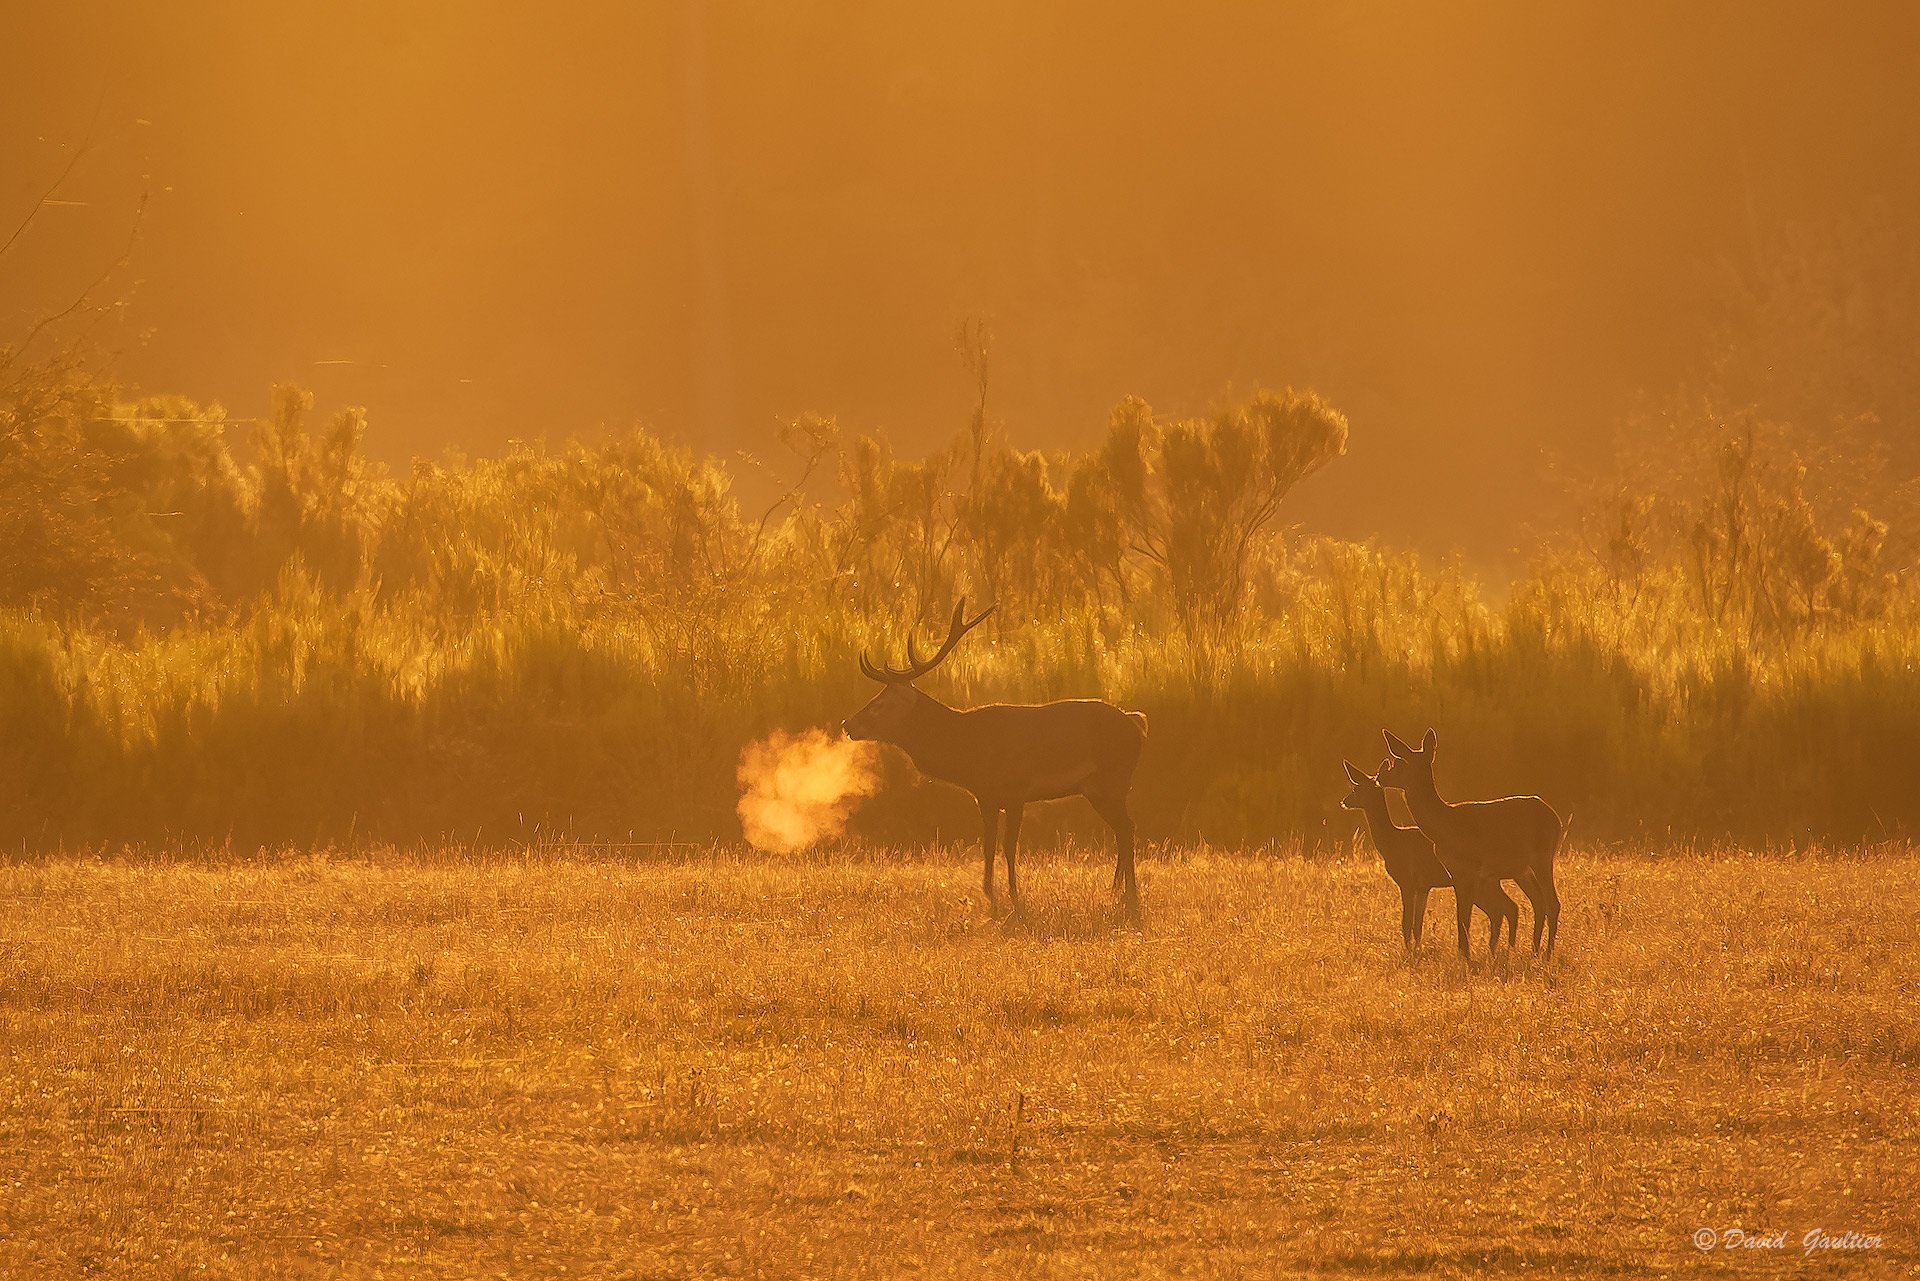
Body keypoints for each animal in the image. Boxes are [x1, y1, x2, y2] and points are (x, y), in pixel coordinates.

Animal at [841, 600, 1150, 919]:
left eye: (880, 704)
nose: (848, 724)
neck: (969, 749)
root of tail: (1135, 721)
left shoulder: (1016, 791)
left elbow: (1009, 846)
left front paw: (1013, 895)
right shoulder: (985, 797)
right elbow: (988, 845)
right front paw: (988, 892)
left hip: (1114, 779)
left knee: (1127, 828)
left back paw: (1129, 892)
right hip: (1098, 789)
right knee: (1122, 829)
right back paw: (1116, 889)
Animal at [1341, 759, 1518, 954]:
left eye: (1356, 788)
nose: (1344, 801)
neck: (1391, 842)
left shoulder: (1407, 881)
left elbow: (1406, 923)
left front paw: (1408, 953)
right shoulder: (1423, 886)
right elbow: (1417, 925)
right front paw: (1417, 950)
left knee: (1504, 908)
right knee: (1502, 909)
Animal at [1378, 728, 1563, 960]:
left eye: (1400, 762)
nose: (1380, 777)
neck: (1445, 827)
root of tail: (1556, 818)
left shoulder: (1468, 870)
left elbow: (1464, 918)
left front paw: (1464, 956)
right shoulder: (1456, 872)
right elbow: (1464, 917)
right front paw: (1466, 954)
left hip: (1542, 857)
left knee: (1552, 902)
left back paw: (1547, 953)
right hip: (1522, 870)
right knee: (1539, 902)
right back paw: (1534, 950)